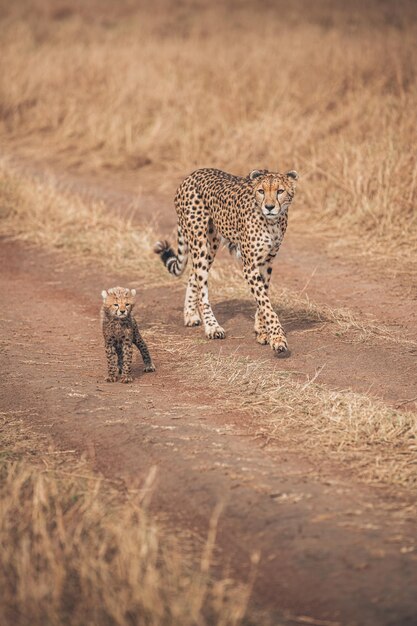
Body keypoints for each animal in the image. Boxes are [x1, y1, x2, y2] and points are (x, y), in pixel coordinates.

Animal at [154, 167, 298, 356]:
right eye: (261, 191)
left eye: (280, 191)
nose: (269, 207)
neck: (272, 222)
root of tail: (194, 174)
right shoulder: (250, 266)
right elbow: (265, 303)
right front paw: (277, 339)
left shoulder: (267, 262)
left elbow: (263, 298)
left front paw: (261, 331)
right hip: (199, 242)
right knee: (202, 289)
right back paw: (212, 327)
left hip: (211, 245)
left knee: (193, 275)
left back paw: (190, 315)